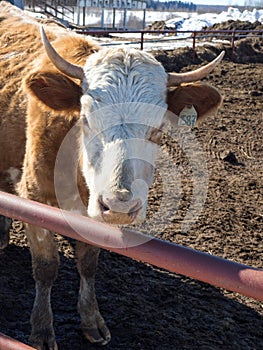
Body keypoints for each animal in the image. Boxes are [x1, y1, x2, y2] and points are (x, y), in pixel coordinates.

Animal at [0, 1, 225, 348]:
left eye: (158, 128)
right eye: (86, 118)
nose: (119, 205)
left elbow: (89, 262)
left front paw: (91, 319)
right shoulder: (33, 197)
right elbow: (46, 266)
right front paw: (41, 329)